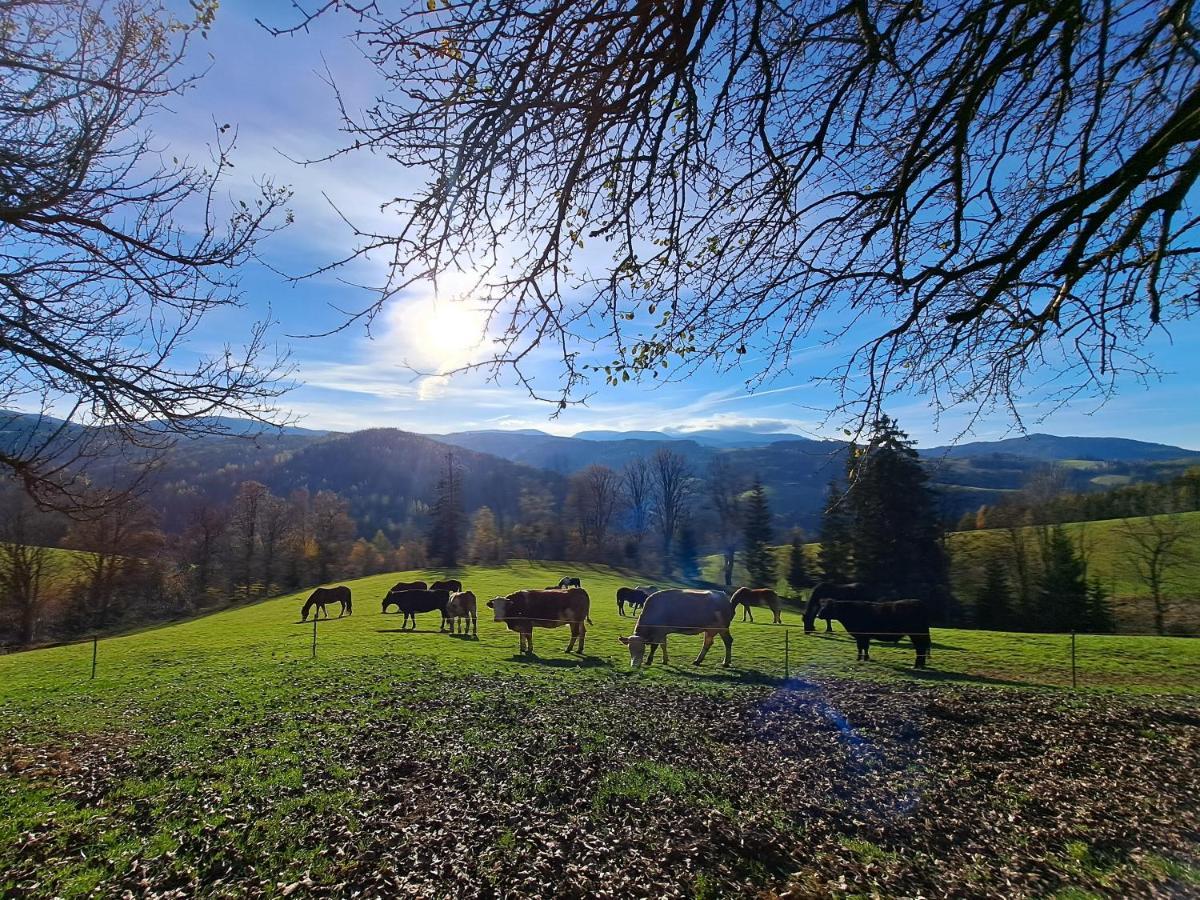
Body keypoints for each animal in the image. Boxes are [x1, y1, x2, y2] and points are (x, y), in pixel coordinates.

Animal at [806, 600, 936, 672]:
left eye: (827, 607)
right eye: (821, 607)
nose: (817, 615)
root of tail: (919, 603)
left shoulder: (861, 635)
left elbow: (861, 647)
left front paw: (859, 658)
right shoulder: (864, 636)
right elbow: (865, 647)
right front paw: (865, 658)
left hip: (916, 634)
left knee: (920, 648)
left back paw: (916, 666)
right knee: (921, 649)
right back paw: (920, 665)